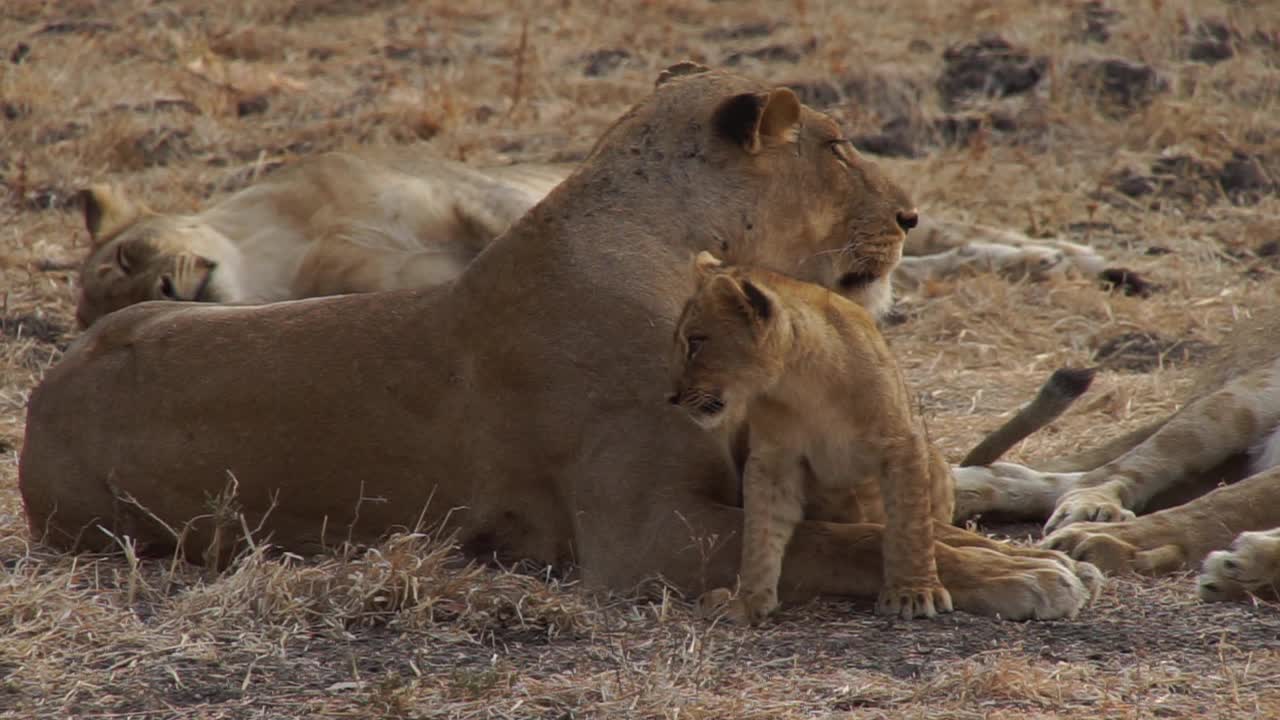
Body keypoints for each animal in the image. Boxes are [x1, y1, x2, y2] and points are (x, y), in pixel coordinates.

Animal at [20, 63, 1100, 617]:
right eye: (835, 148)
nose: (911, 217)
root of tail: (35, 409)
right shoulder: (642, 536)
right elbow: (842, 541)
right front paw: (1022, 573)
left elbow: (896, 515)